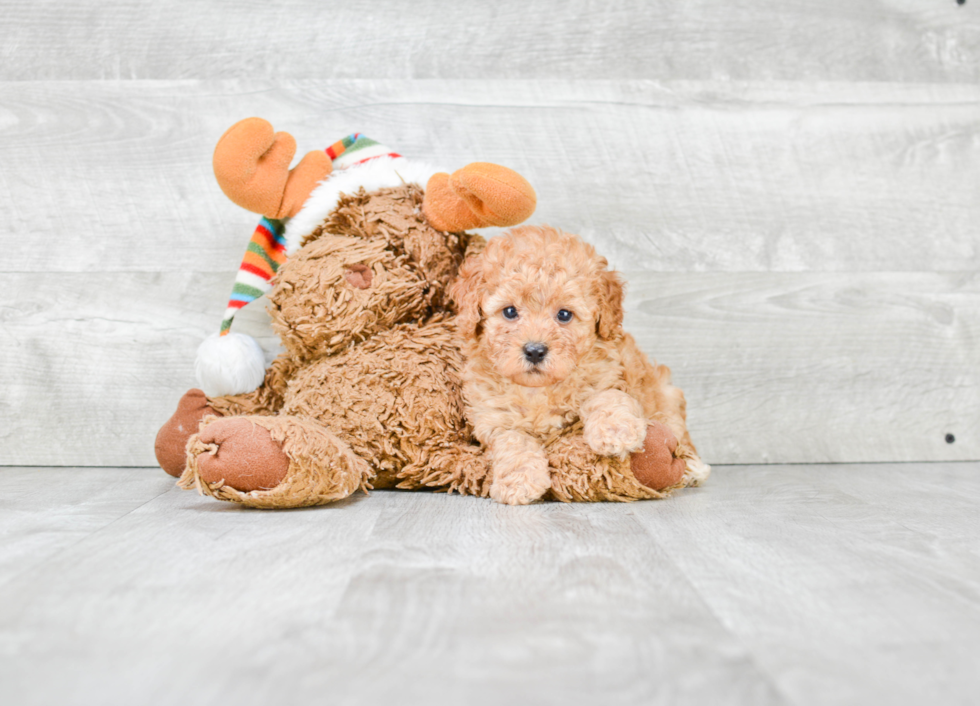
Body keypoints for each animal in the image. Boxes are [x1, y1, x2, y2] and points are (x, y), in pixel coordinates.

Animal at [452, 223, 704, 504]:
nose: (535, 351)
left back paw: (693, 468)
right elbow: (514, 441)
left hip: (666, 395)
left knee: (679, 432)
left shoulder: (611, 374)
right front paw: (519, 482)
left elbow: (605, 397)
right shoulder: (494, 419)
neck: (539, 389)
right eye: (509, 312)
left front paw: (615, 431)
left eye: (564, 315)